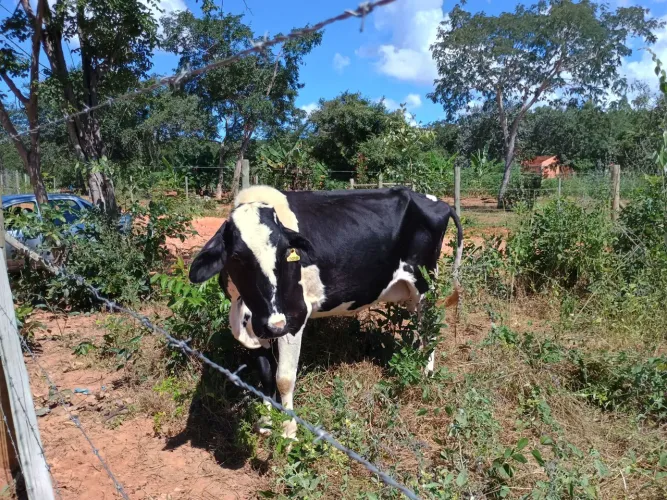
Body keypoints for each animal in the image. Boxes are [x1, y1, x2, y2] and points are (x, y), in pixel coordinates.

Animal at [188, 185, 463, 439]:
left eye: (285, 252)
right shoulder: (258, 325)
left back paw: (426, 371)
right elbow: (265, 373)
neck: (247, 307)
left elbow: (284, 378)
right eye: (236, 256)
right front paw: (266, 422)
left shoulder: (294, 315)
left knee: (430, 326)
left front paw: (289, 431)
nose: (275, 325)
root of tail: (436, 201)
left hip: (426, 283)